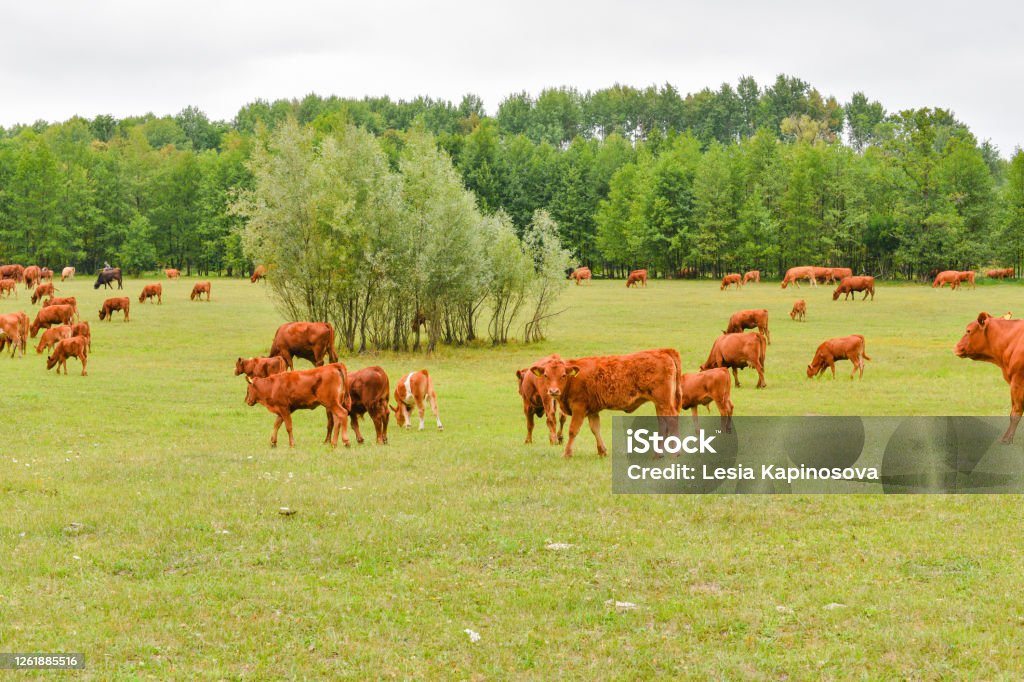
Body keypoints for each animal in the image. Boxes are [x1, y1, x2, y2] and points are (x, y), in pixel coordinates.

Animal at [528, 349, 682, 458]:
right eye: (546, 375)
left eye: (563, 375)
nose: (553, 391)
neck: (574, 379)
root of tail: (663, 351)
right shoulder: (592, 410)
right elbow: (595, 429)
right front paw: (602, 451)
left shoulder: (579, 408)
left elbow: (573, 430)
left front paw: (566, 453)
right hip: (660, 404)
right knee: (663, 424)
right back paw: (658, 454)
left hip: (664, 403)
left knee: (672, 421)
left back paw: (675, 453)